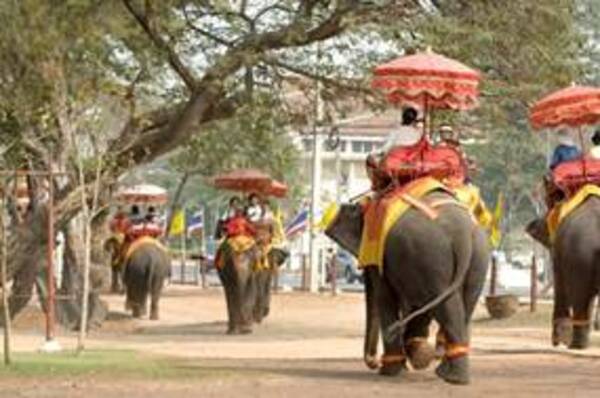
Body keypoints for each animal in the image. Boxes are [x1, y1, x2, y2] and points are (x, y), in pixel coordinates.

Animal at [326, 191, 490, 384]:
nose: (374, 362)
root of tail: (462, 235)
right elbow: (416, 306)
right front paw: (414, 357)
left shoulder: (383, 252)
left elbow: (385, 297)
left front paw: (391, 370)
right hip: (475, 257)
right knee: (459, 306)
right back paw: (451, 376)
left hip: (429, 254)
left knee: (444, 305)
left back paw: (449, 376)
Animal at [528, 197, 600, 348]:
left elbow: (560, 281)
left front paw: (559, 341)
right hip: (582, 256)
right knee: (583, 297)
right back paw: (578, 344)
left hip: (580, 255)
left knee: (579, 296)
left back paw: (575, 345)